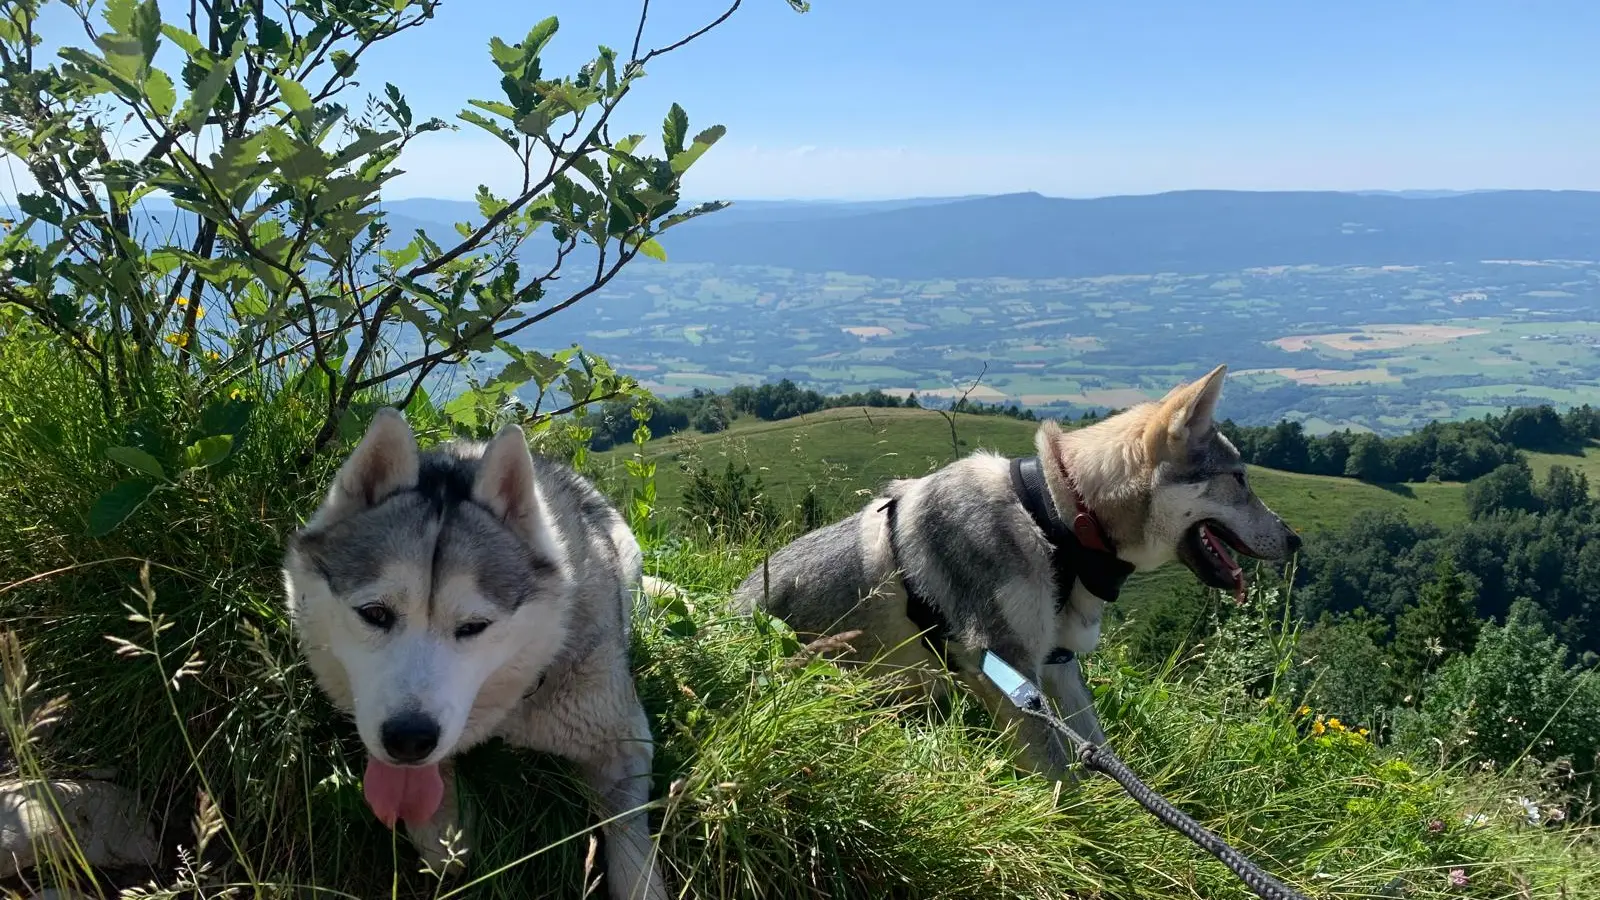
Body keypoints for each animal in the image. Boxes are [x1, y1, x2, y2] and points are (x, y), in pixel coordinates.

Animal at [282, 409, 667, 900]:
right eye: (374, 613)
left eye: (473, 627)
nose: (409, 739)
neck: (512, 709)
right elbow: (444, 847)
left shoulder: (621, 737)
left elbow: (630, 842)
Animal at [733, 365, 1301, 779]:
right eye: (1240, 480)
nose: (1295, 540)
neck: (1053, 522)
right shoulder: (1003, 666)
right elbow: (1060, 774)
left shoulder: (1056, 662)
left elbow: (1096, 747)